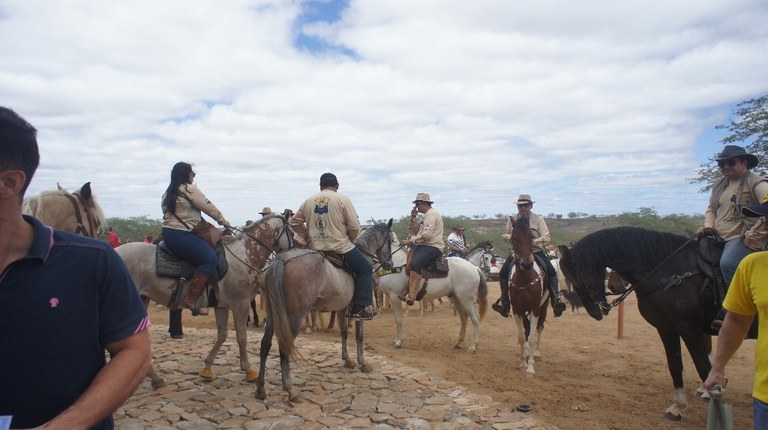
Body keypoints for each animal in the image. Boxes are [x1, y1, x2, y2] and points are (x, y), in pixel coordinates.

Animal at [115, 217, 292, 388]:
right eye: (291, 230)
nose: (296, 247)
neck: (244, 254)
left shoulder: (222, 306)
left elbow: (222, 335)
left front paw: (207, 368)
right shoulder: (240, 304)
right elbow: (242, 337)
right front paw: (248, 371)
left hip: (142, 300)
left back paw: (155, 378)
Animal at [255, 220, 392, 402]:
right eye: (391, 240)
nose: (390, 264)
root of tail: (282, 259)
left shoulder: (342, 309)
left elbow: (344, 333)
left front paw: (347, 359)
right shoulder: (359, 314)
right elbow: (359, 336)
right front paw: (363, 362)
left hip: (273, 315)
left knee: (265, 344)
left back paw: (260, 389)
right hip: (295, 317)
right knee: (284, 346)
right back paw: (290, 389)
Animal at [508, 214, 548, 372]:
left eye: (531, 236)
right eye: (514, 237)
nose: (526, 264)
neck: (525, 279)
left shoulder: (535, 308)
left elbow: (531, 337)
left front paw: (530, 366)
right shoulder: (517, 309)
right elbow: (521, 336)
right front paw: (522, 362)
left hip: (543, 307)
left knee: (539, 327)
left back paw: (536, 353)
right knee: (526, 329)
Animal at [560, 227, 712, 422]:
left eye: (582, 279)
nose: (595, 313)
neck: (670, 272)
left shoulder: (689, 330)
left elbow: (704, 368)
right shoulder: (668, 328)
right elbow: (675, 365)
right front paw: (677, 407)